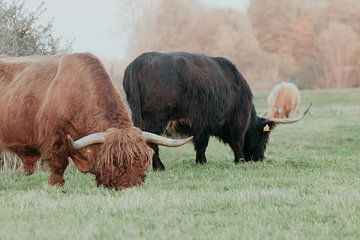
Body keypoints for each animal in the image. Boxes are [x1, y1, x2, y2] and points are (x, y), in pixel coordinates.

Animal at [123, 52, 310, 171]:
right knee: (152, 142)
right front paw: (239, 161)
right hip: (154, 119)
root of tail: (137, 63)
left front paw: (201, 162)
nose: (259, 158)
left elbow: (200, 146)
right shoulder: (234, 122)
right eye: (265, 137)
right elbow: (236, 142)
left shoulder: (201, 126)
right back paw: (159, 167)